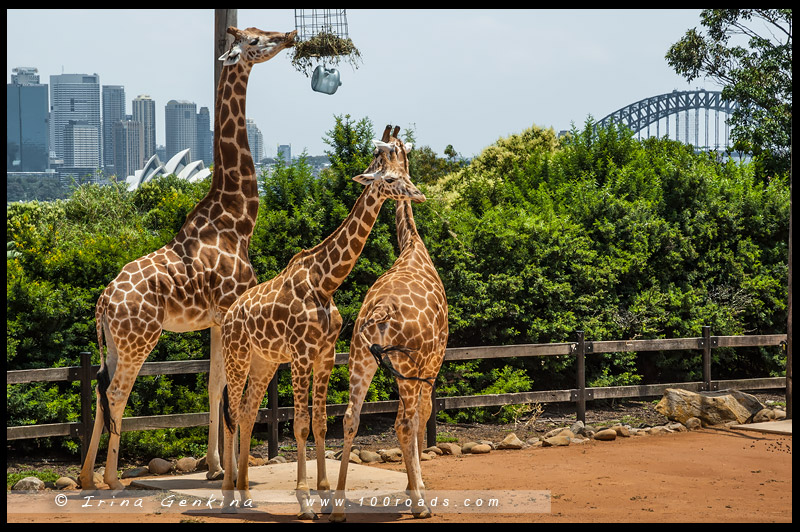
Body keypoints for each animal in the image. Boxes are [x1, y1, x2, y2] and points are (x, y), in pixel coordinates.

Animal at [77, 26, 296, 490]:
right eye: (254, 40)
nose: (288, 35)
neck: (237, 218)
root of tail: (103, 302)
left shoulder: (216, 319)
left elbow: (213, 386)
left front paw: (214, 467)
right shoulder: (230, 308)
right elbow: (229, 390)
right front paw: (230, 470)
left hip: (114, 344)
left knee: (102, 391)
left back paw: (87, 476)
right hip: (140, 339)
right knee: (117, 393)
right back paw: (112, 479)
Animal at [216, 123, 422, 516]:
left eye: (407, 173)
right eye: (390, 178)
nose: (418, 195)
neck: (325, 281)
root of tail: (230, 313)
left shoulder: (325, 354)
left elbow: (322, 423)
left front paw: (325, 494)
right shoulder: (300, 355)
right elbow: (299, 425)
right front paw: (305, 500)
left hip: (264, 361)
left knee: (248, 412)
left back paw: (247, 493)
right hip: (237, 357)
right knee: (232, 414)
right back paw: (228, 495)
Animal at [328, 194, 446, 520]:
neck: (413, 245)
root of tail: (381, 312)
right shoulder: (432, 363)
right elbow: (422, 415)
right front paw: (416, 486)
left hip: (359, 359)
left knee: (350, 417)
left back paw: (338, 508)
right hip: (408, 364)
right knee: (404, 423)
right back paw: (420, 506)